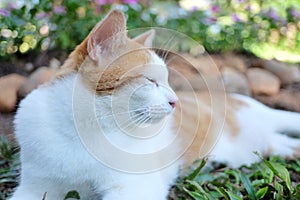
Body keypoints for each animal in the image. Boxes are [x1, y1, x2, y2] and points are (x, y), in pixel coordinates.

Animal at [9, 8, 300, 199]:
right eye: (150, 80)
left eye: (168, 80)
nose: (175, 101)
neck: (86, 132)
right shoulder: (35, 188)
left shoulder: (133, 189)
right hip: (262, 146)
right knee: (281, 144)